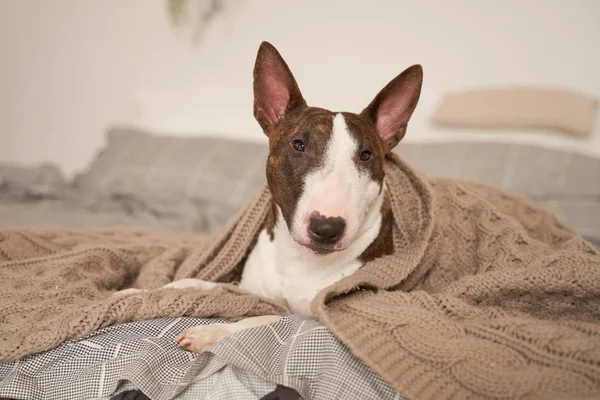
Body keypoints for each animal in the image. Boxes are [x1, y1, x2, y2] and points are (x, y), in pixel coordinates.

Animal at [119, 41, 422, 354]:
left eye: (365, 155)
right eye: (298, 145)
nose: (327, 229)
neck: (297, 260)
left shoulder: (318, 317)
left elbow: (262, 320)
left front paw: (211, 331)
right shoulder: (250, 287)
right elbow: (198, 283)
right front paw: (136, 293)